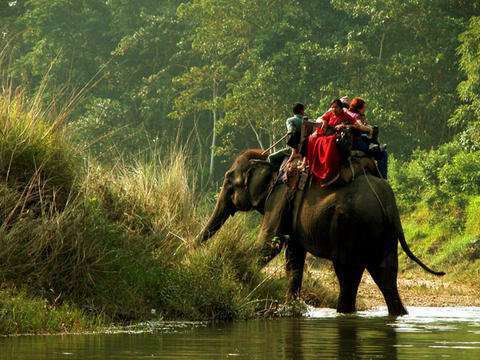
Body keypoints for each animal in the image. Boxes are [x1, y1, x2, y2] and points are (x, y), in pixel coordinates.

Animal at [197, 149, 444, 316]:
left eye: (229, 180)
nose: (193, 251)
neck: (270, 159)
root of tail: (388, 204)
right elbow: (293, 256)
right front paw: (291, 307)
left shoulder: (279, 197)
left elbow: (269, 244)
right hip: (383, 234)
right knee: (385, 274)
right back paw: (397, 314)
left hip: (351, 227)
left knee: (348, 273)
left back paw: (344, 312)